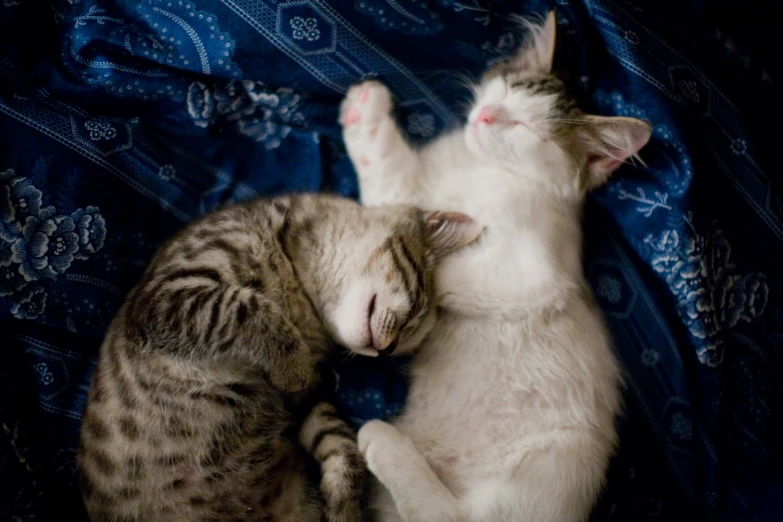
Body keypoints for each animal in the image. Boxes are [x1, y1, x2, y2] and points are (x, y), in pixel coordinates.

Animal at [78, 193, 478, 516]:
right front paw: (292, 366)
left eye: (405, 345)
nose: (387, 349)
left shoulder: (310, 402)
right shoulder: (169, 293)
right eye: (416, 311)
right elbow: (246, 309)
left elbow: (340, 442)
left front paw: (345, 506)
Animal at [340, 9, 652, 520]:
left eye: (527, 129)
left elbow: (438, 275)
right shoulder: (408, 194)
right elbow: (384, 185)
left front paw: (412, 307)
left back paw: (381, 440)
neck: (480, 168)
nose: (487, 115)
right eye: (505, 90)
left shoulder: (536, 270)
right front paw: (363, 114)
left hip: (541, 470)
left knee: (448, 514)